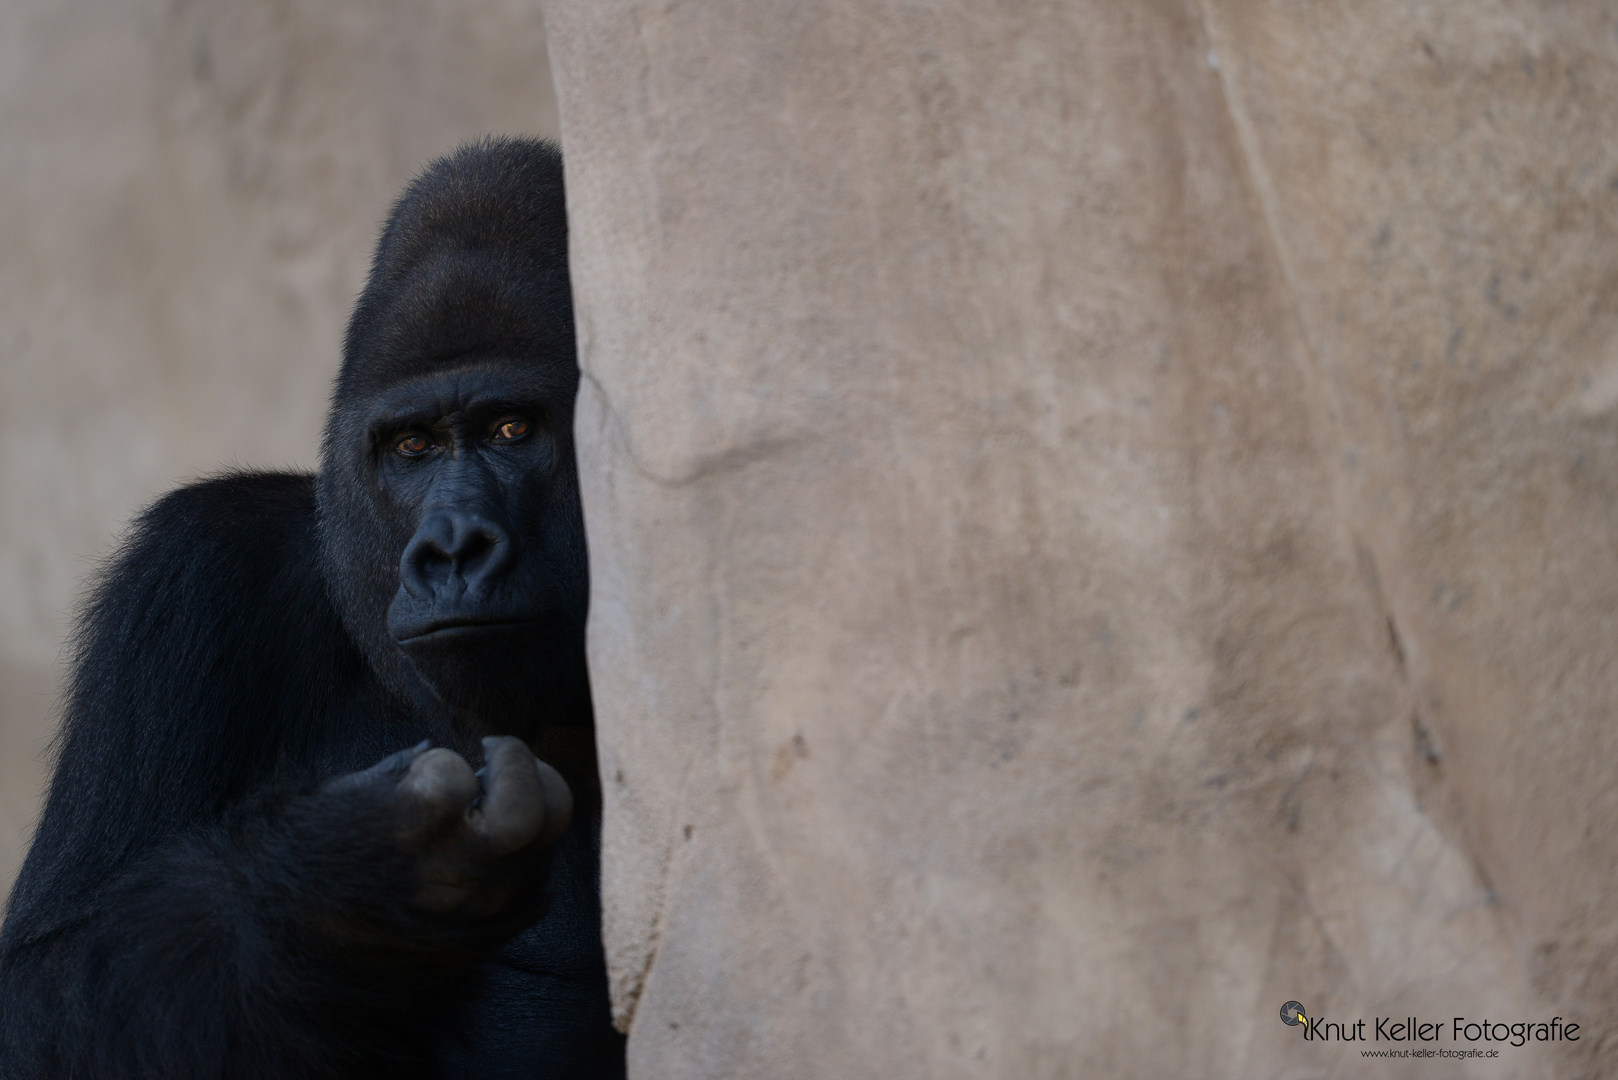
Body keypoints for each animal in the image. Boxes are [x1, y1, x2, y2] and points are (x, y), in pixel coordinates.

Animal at [0, 139, 624, 1075]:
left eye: (513, 430)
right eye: (413, 446)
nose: (452, 550)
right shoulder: (192, 574)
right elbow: (35, 990)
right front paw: (351, 888)